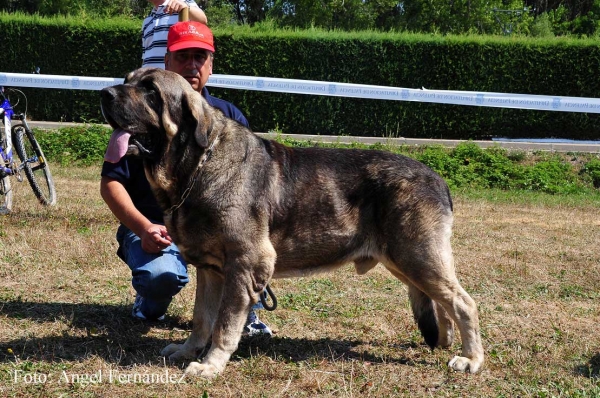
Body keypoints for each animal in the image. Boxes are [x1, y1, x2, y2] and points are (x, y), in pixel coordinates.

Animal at [101, 67, 486, 376]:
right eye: (127, 80)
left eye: (150, 90)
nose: (104, 93)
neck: (196, 165)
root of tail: (438, 179)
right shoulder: (211, 271)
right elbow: (202, 319)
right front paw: (187, 351)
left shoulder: (245, 264)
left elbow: (224, 324)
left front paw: (210, 365)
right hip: (405, 261)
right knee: (442, 301)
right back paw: (447, 341)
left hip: (416, 256)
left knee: (463, 303)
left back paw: (470, 358)